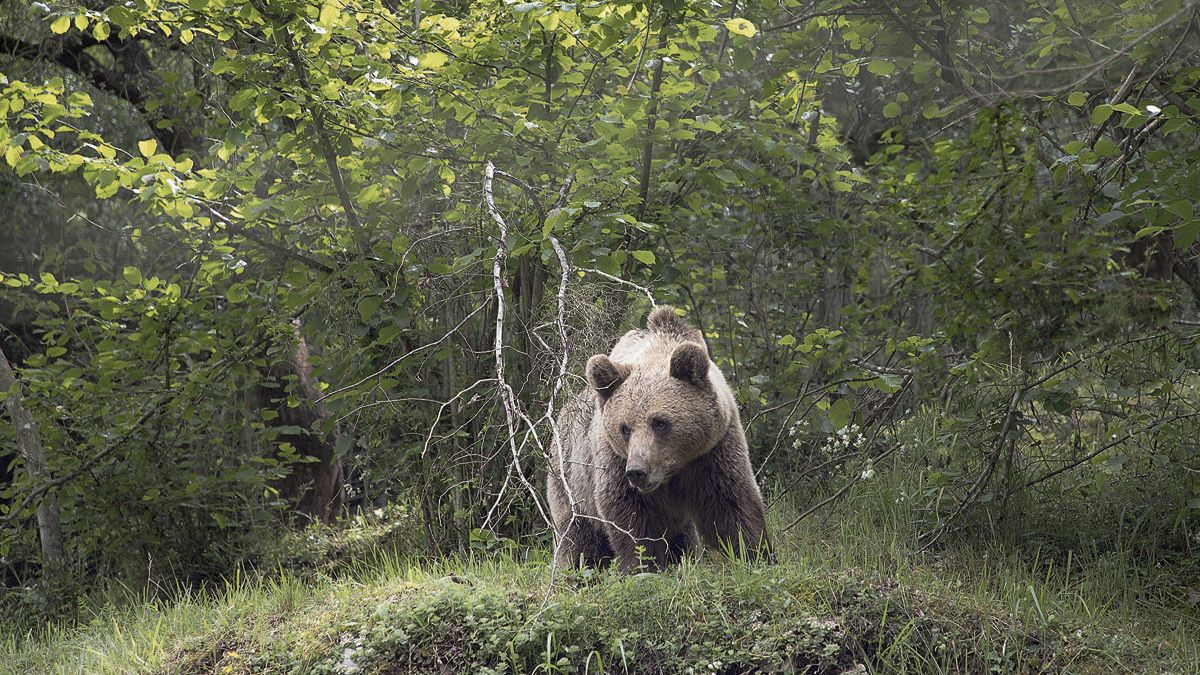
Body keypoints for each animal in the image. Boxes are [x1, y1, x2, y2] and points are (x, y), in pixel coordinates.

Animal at [547, 307, 768, 569]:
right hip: (571, 479)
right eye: (624, 428)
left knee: (683, 537)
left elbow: (731, 502)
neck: (672, 470)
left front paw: (755, 555)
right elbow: (631, 517)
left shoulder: (713, 451)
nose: (637, 471)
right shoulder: (615, 461)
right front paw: (644, 564)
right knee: (577, 535)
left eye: (660, 422)